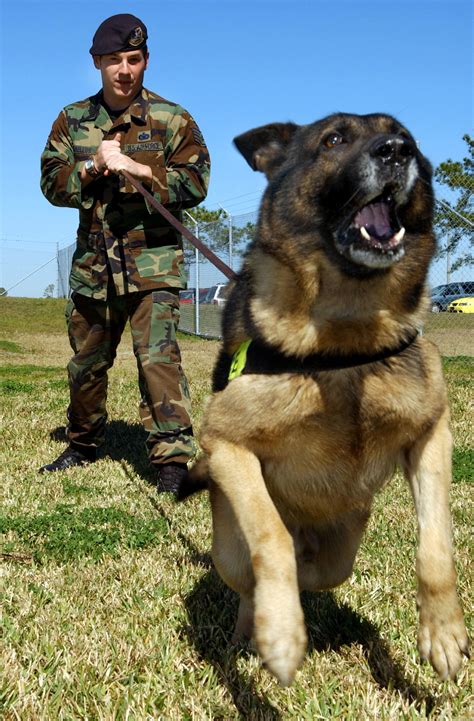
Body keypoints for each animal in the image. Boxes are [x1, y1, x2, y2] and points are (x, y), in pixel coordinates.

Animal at [179, 112, 470, 688]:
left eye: (407, 136)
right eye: (334, 139)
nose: (396, 150)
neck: (347, 342)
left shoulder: (432, 437)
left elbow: (437, 545)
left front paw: (444, 632)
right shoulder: (225, 442)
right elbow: (270, 537)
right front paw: (281, 633)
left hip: (345, 538)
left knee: (322, 569)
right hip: (229, 546)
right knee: (255, 575)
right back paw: (256, 627)